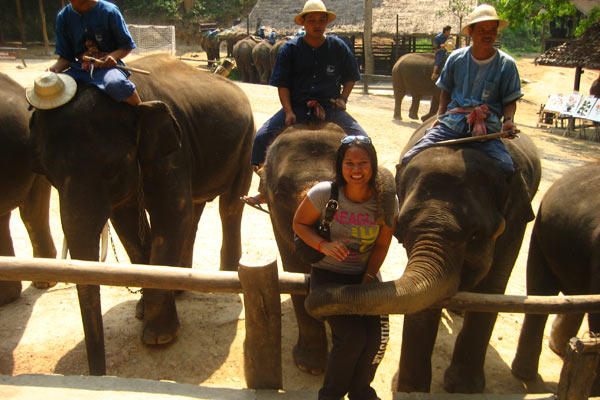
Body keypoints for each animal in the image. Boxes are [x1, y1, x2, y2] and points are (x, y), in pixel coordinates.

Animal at [29, 54, 254, 376]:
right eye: (49, 173)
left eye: (110, 168)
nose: (98, 373)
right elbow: (127, 223)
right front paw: (145, 310)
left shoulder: (173, 150)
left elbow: (171, 214)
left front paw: (159, 338)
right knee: (194, 210)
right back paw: (182, 288)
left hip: (247, 142)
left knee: (229, 206)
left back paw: (225, 276)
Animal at [308, 116, 540, 394]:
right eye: (402, 228)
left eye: (476, 235)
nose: (315, 305)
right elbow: (424, 301)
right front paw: (412, 390)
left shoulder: (516, 222)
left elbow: (492, 289)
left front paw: (462, 389)